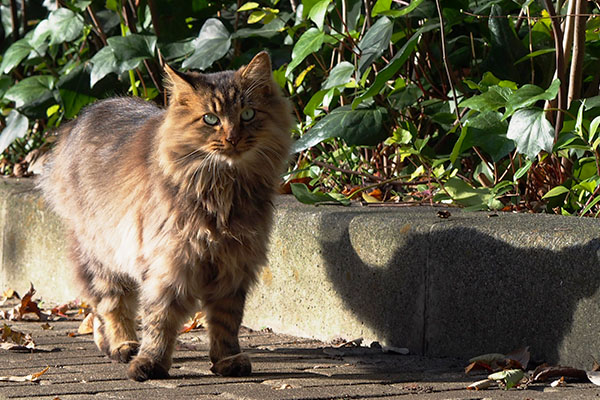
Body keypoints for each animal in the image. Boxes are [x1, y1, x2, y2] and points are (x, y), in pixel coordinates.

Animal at [38, 52, 292, 382]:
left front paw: (227, 360)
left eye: (248, 114)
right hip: (102, 252)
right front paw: (151, 362)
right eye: (211, 119)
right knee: (110, 304)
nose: (233, 138)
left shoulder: (233, 266)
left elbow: (226, 322)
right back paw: (123, 345)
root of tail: (83, 116)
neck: (223, 187)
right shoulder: (168, 265)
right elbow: (160, 319)